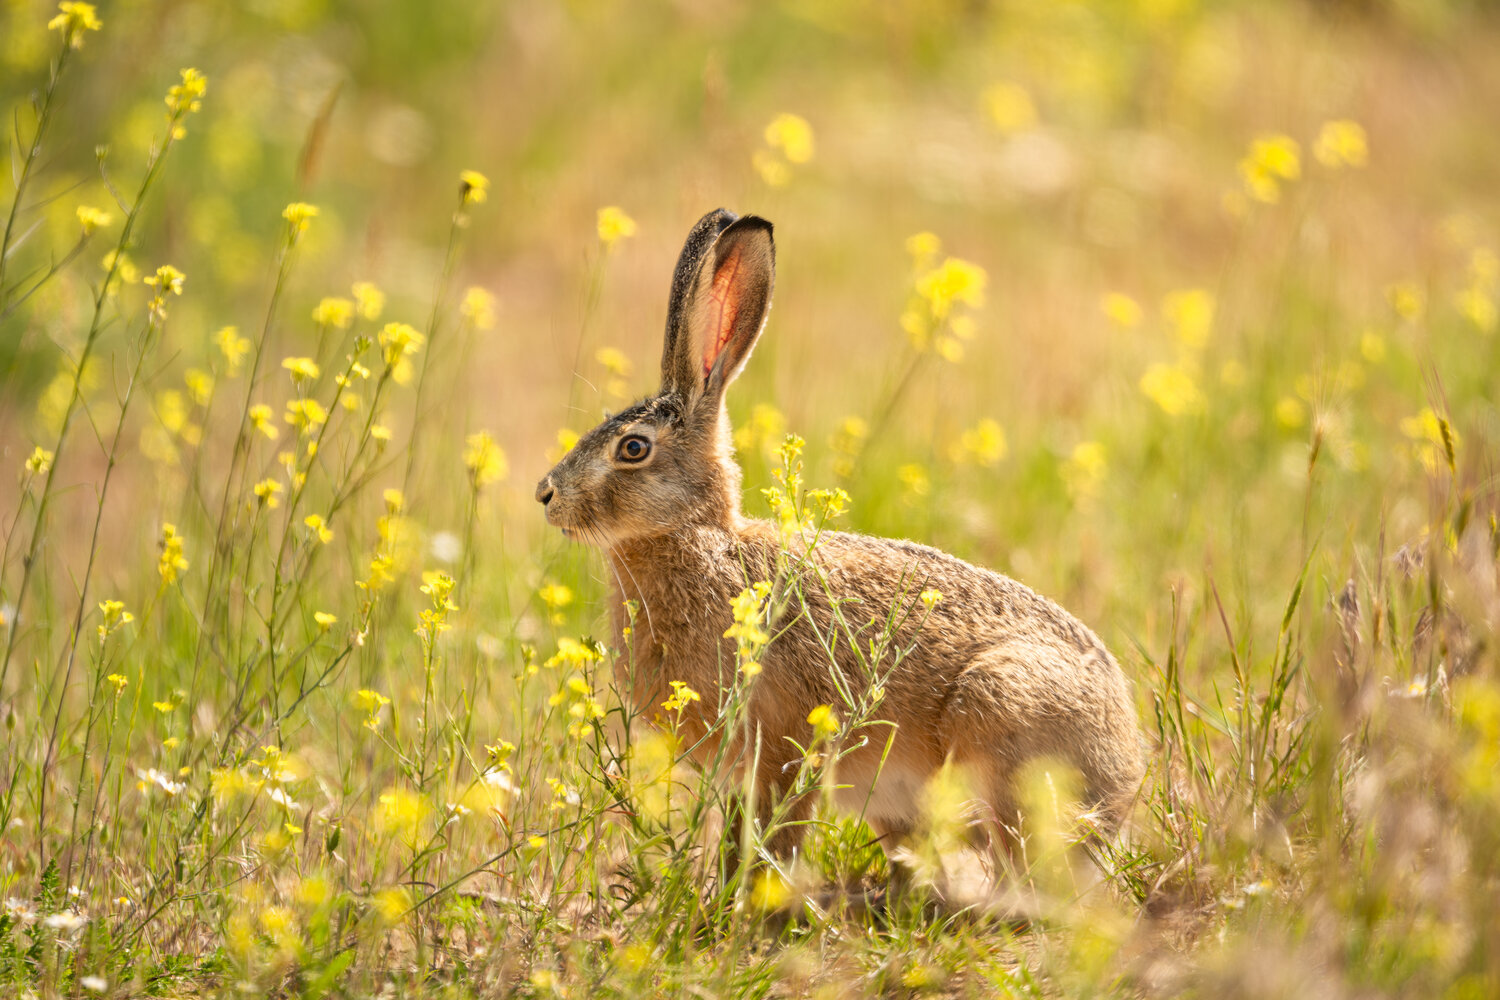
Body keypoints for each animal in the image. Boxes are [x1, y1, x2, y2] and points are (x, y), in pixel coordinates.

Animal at [535, 208, 1144, 872]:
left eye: (633, 448)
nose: (546, 494)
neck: (697, 535)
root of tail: (1125, 774)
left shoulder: (780, 747)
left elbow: (770, 835)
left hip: (1000, 715)